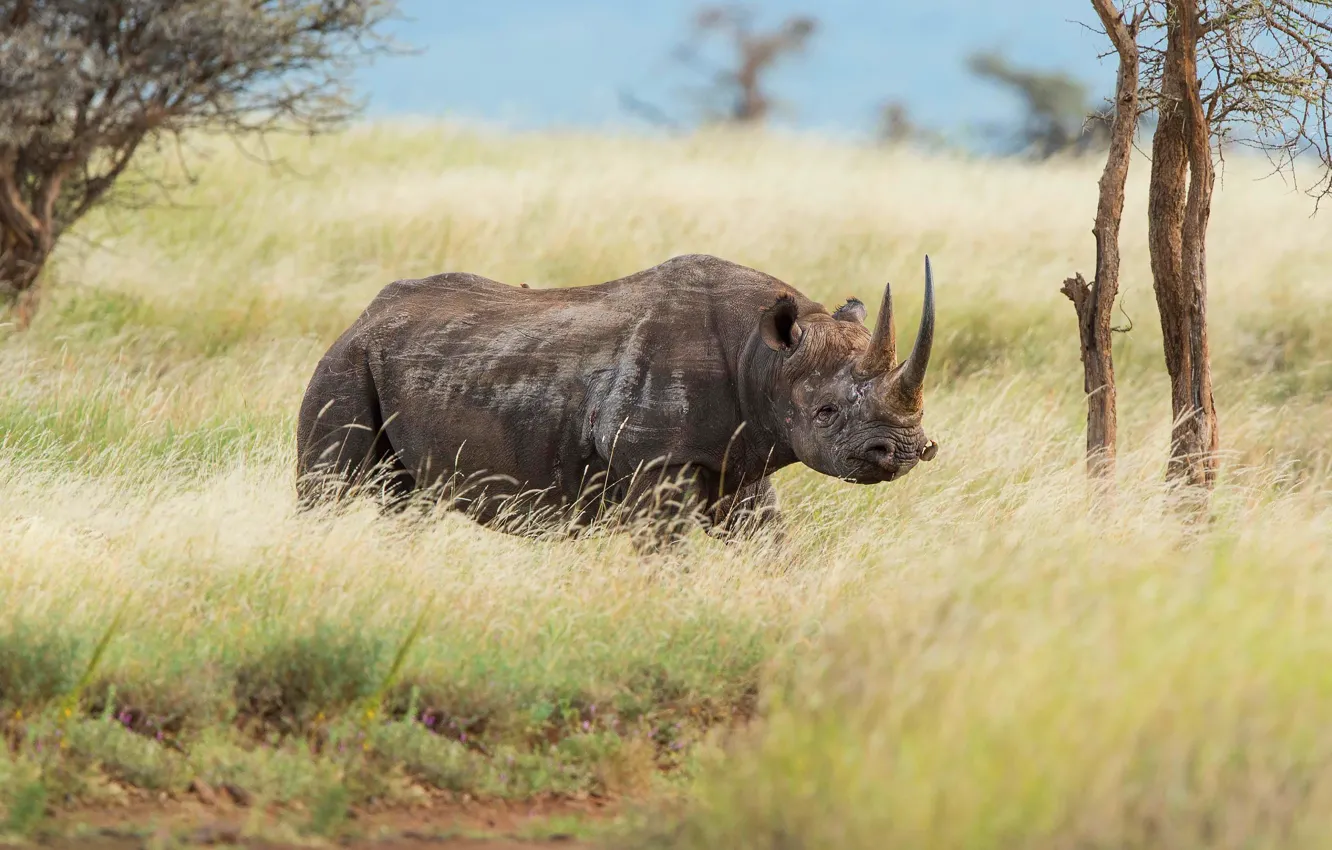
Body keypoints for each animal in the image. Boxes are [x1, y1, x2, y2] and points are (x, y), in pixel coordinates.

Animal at [296, 253, 939, 542]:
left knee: (405, 498)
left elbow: (766, 540)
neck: (765, 360)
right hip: (347, 362)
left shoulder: (738, 453)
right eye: (826, 413)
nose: (907, 451)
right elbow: (666, 545)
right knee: (327, 487)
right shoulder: (657, 456)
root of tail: (363, 316)